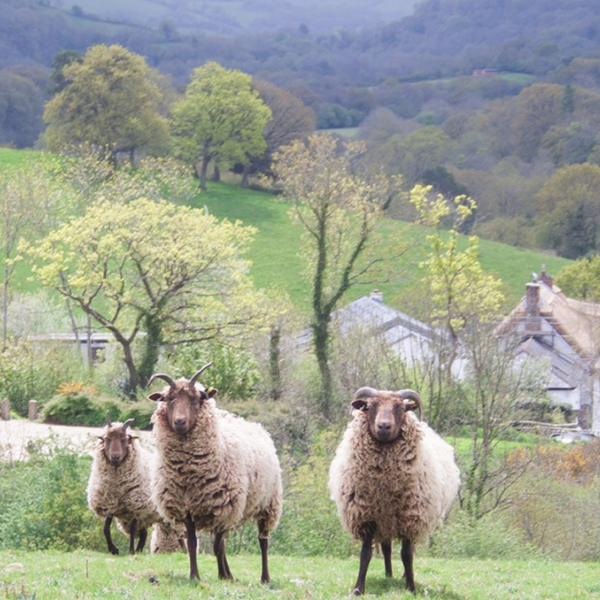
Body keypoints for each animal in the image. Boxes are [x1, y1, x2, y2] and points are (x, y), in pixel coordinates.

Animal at [86, 414, 158, 556]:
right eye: (107, 439)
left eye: (124, 440)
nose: (115, 456)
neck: (117, 487)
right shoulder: (109, 504)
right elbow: (105, 529)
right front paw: (113, 549)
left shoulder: (136, 505)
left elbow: (132, 529)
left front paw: (130, 550)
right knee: (144, 533)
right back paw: (139, 550)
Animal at [148, 364, 284, 584]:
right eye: (168, 399)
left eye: (196, 399)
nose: (179, 422)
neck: (189, 474)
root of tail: (258, 427)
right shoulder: (187, 508)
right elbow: (193, 544)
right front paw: (195, 576)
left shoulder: (224, 505)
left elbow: (216, 545)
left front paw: (222, 575)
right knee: (224, 542)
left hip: (268, 503)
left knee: (263, 541)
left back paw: (264, 578)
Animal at [328, 386, 460, 592]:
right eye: (370, 406)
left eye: (400, 408)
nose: (384, 426)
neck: (385, 483)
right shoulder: (368, 516)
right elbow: (365, 554)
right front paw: (358, 588)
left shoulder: (410, 517)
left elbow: (406, 555)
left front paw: (411, 588)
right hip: (385, 520)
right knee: (387, 547)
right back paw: (388, 575)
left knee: (409, 550)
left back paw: (404, 575)